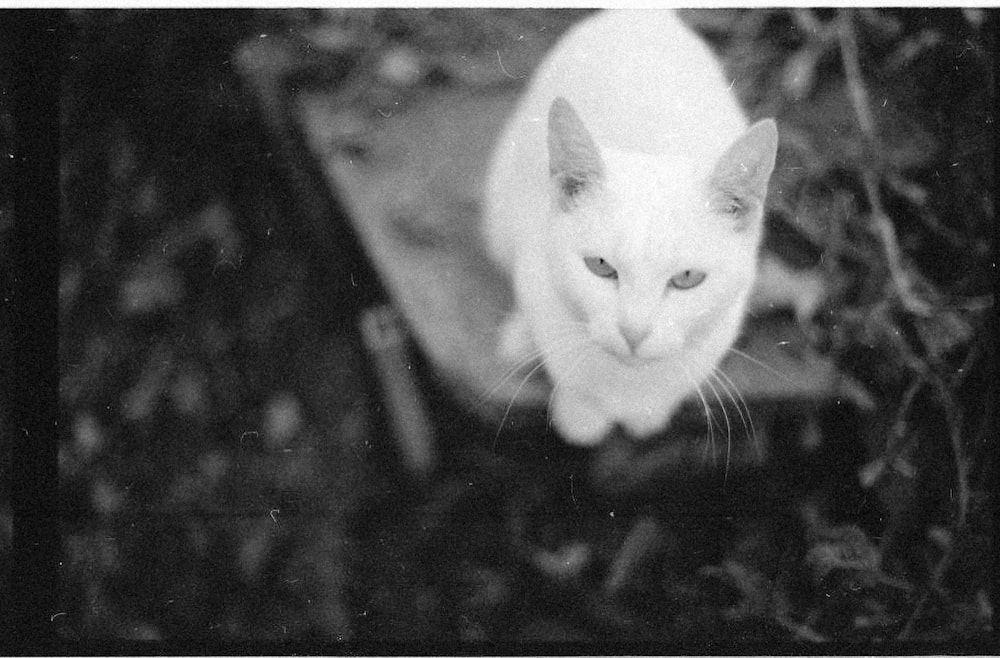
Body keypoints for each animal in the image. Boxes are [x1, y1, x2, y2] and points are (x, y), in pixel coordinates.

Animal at [486, 9, 780, 446]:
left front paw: (648, 409)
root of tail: (642, 13)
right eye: (600, 266)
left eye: (688, 277)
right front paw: (580, 408)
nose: (634, 333)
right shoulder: (535, 264)